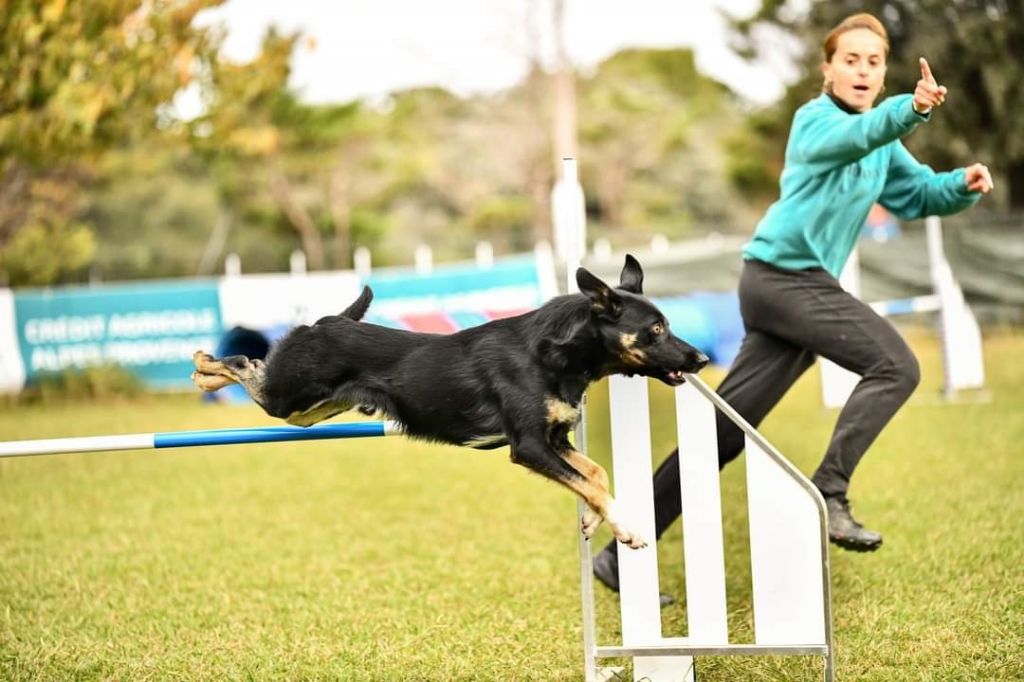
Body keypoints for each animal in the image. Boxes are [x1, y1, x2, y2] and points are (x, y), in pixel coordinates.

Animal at [190, 254, 704, 548]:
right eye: (657, 329)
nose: (699, 359)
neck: (554, 354)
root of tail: (329, 321)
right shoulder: (529, 446)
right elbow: (592, 483)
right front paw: (626, 528)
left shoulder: (555, 439)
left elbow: (595, 475)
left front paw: (593, 522)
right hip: (288, 397)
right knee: (246, 364)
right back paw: (204, 367)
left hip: (308, 411)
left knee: (257, 365)